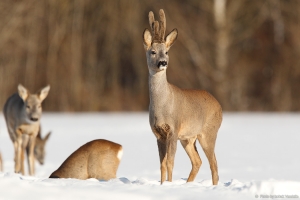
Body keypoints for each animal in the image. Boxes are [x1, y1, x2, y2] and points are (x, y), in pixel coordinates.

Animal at [143, 9, 223, 184]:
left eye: (166, 52)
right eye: (153, 52)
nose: (163, 62)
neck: (162, 106)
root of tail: (219, 105)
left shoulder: (174, 128)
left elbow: (170, 162)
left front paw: (169, 184)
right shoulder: (158, 133)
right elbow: (162, 164)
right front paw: (162, 184)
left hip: (208, 132)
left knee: (214, 164)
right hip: (188, 138)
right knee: (198, 161)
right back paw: (188, 184)